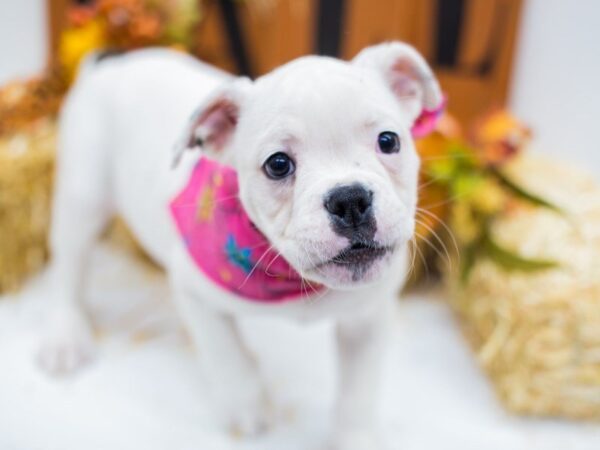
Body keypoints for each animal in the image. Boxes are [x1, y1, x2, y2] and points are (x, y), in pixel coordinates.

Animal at [37, 40, 440, 448]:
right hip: (83, 197)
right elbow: (226, 353)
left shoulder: (368, 317)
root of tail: (113, 58)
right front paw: (248, 406)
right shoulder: (194, 292)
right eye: (278, 164)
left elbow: (358, 391)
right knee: (68, 267)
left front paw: (355, 437)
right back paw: (65, 338)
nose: (350, 199)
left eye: (389, 141)